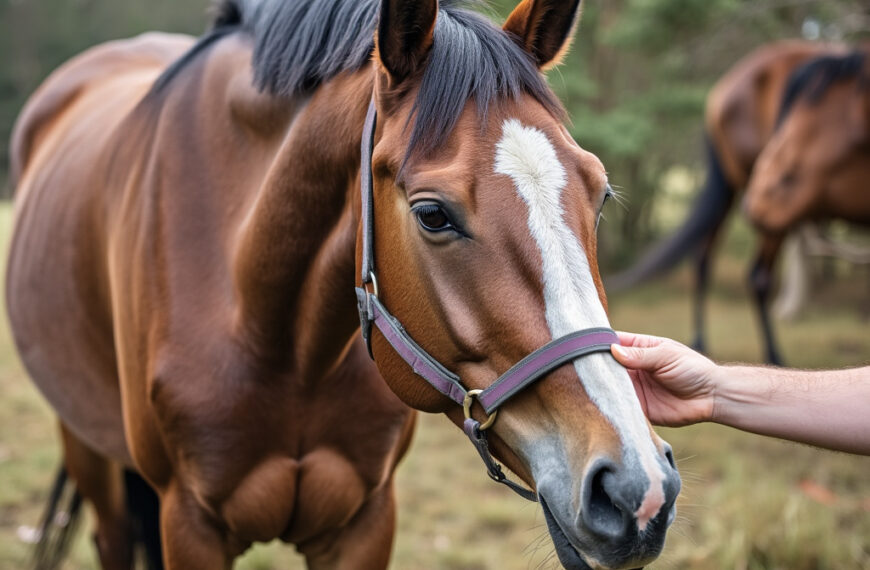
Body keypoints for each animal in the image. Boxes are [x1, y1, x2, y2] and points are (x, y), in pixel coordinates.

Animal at [5, 1, 680, 568]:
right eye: (432, 214)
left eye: (599, 194)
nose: (637, 488)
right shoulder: (190, 524)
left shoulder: (364, 521)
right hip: (86, 443)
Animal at [608, 40, 852, 362]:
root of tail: (719, 96)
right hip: (760, 193)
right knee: (756, 275)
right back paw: (771, 354)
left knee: (705, 258)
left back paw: (703, 341)